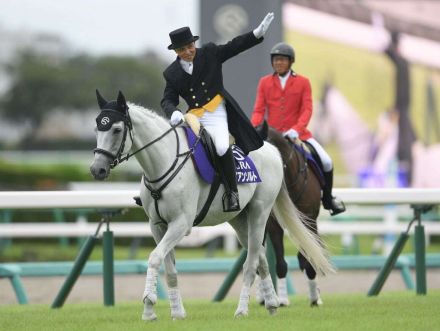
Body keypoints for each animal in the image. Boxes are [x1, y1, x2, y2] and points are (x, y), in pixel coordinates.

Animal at [254, 123, 324, 308]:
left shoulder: (310, 219)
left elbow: (310, 257)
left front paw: (314, 298)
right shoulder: (273, 225)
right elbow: (280, 264)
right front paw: (283, 299)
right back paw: (263, 296)